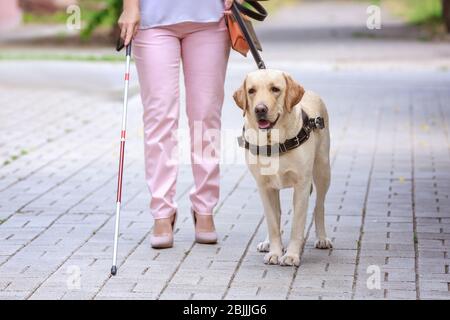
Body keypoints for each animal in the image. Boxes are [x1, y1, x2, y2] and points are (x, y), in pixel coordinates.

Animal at [234, 70, 332, 268]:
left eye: (275, 89)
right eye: (251, 91)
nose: (260, 109)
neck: (273, 141)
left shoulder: (302, 185)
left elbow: (297, 225)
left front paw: (292, 255)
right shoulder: (264, 187)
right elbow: (272, 221)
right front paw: (275, 252)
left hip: (323, 170)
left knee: (319, 205)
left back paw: (322, 238)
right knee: (276, 215)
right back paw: (267, 243)